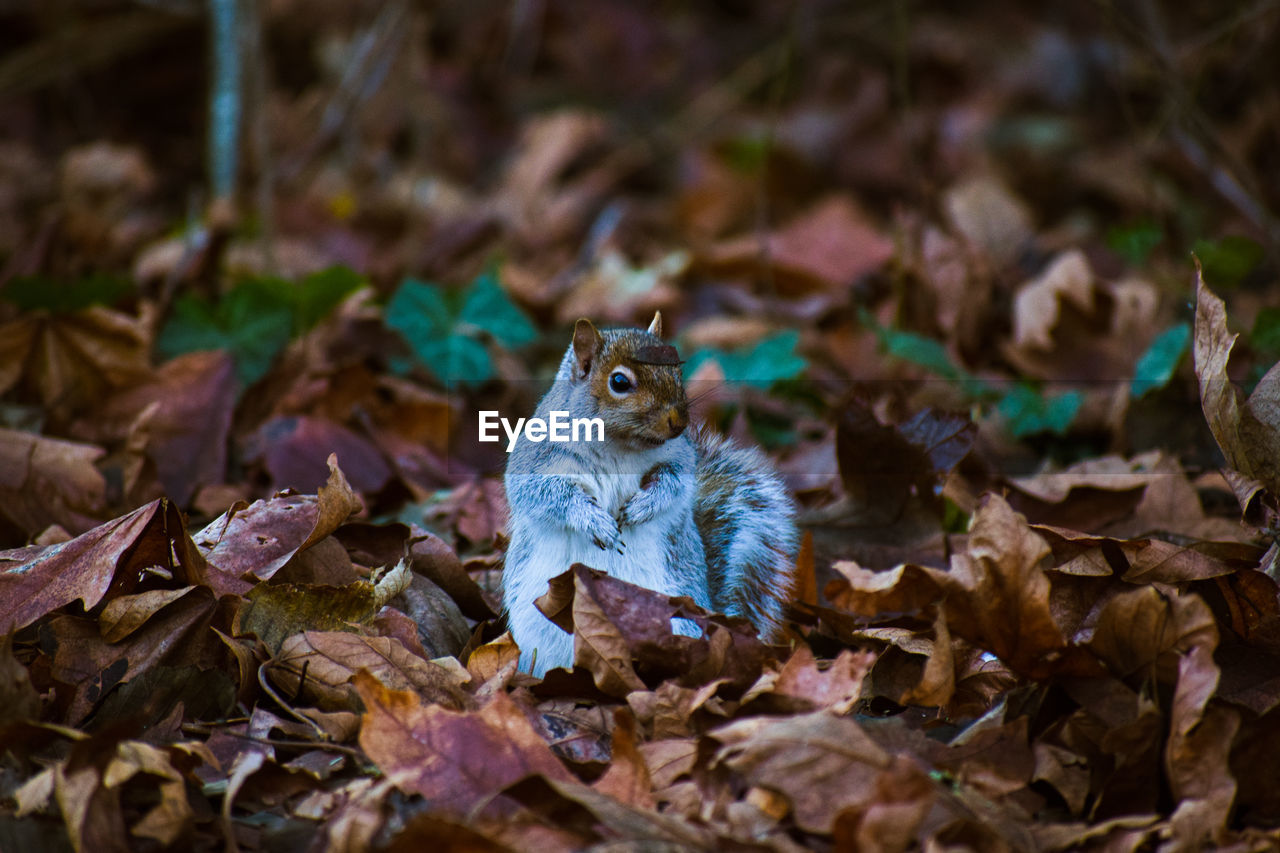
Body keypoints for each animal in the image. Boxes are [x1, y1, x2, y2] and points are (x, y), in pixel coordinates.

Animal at [501, 308, 793, 676]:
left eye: (678, 371)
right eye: (619, 382)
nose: (678, 422)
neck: (618, 445)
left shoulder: (679, 458)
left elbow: (674, 484)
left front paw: (642, 507)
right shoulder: (538, 459)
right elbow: (548, 496)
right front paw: (596, 522)